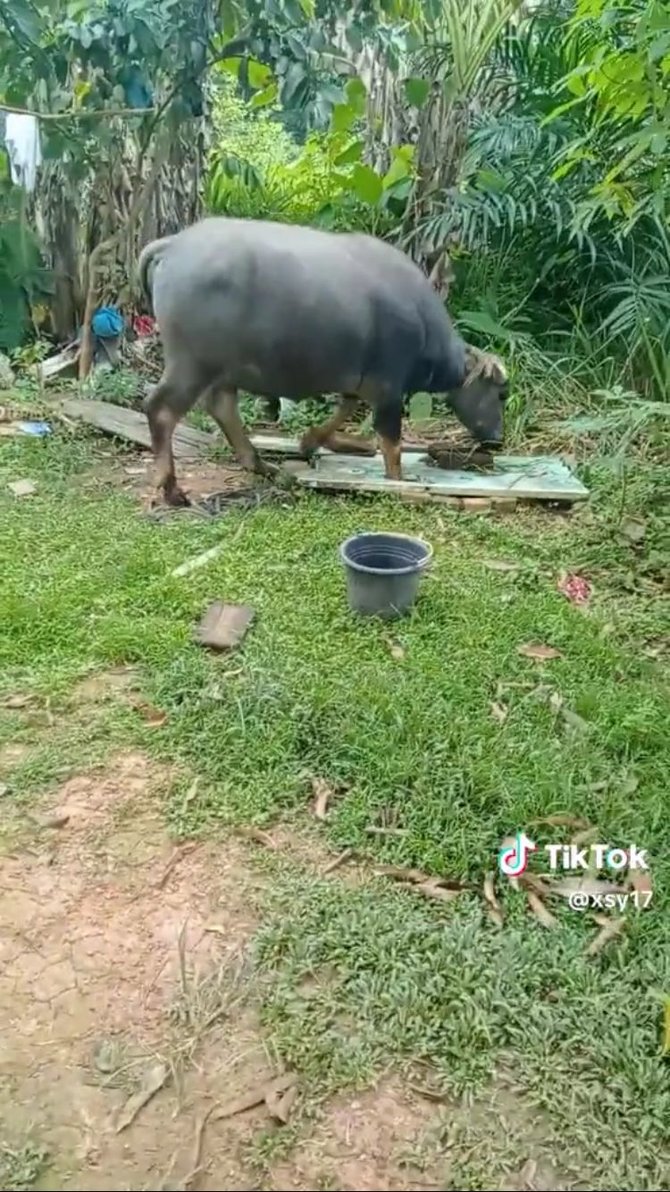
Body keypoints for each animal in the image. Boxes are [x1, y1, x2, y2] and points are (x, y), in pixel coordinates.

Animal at [140, 216, 505, 505]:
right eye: (502, 393)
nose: (498, 438)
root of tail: (174, 245)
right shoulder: (389, 388)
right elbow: (391, 442)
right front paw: (398, 480)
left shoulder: (360, 382)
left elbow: (344, 409)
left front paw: (311, 441)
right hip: (192, 364)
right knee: (162, 410)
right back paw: (171, 489)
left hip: (222, 369)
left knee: (221, 407)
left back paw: (261, 465)